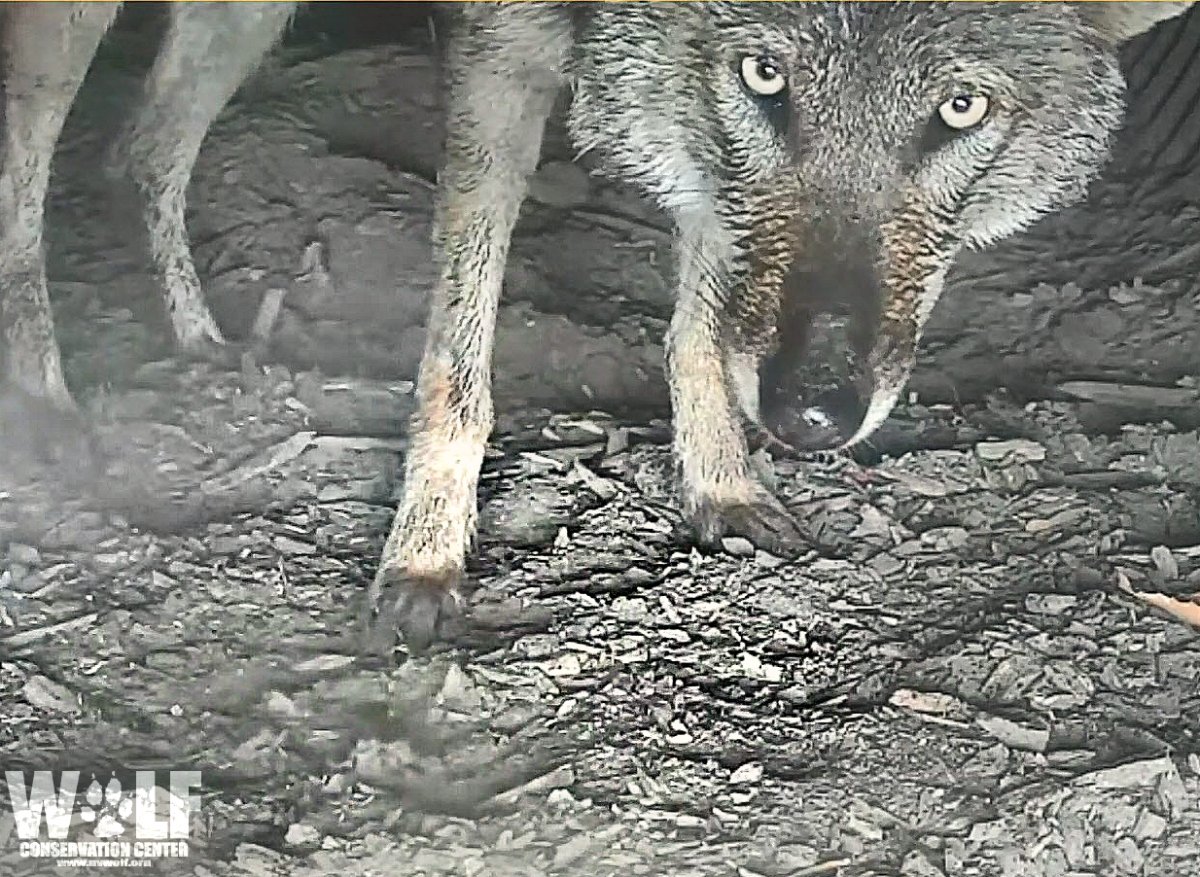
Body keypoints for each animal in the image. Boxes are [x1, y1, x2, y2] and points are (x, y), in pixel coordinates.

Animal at [364, 1, 1195, 653]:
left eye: (961, 109)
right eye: (764, 75)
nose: (811, 415)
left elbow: (698, 334)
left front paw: (721, 484)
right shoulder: (498, 50)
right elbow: (459, 350)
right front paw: (425, 555)